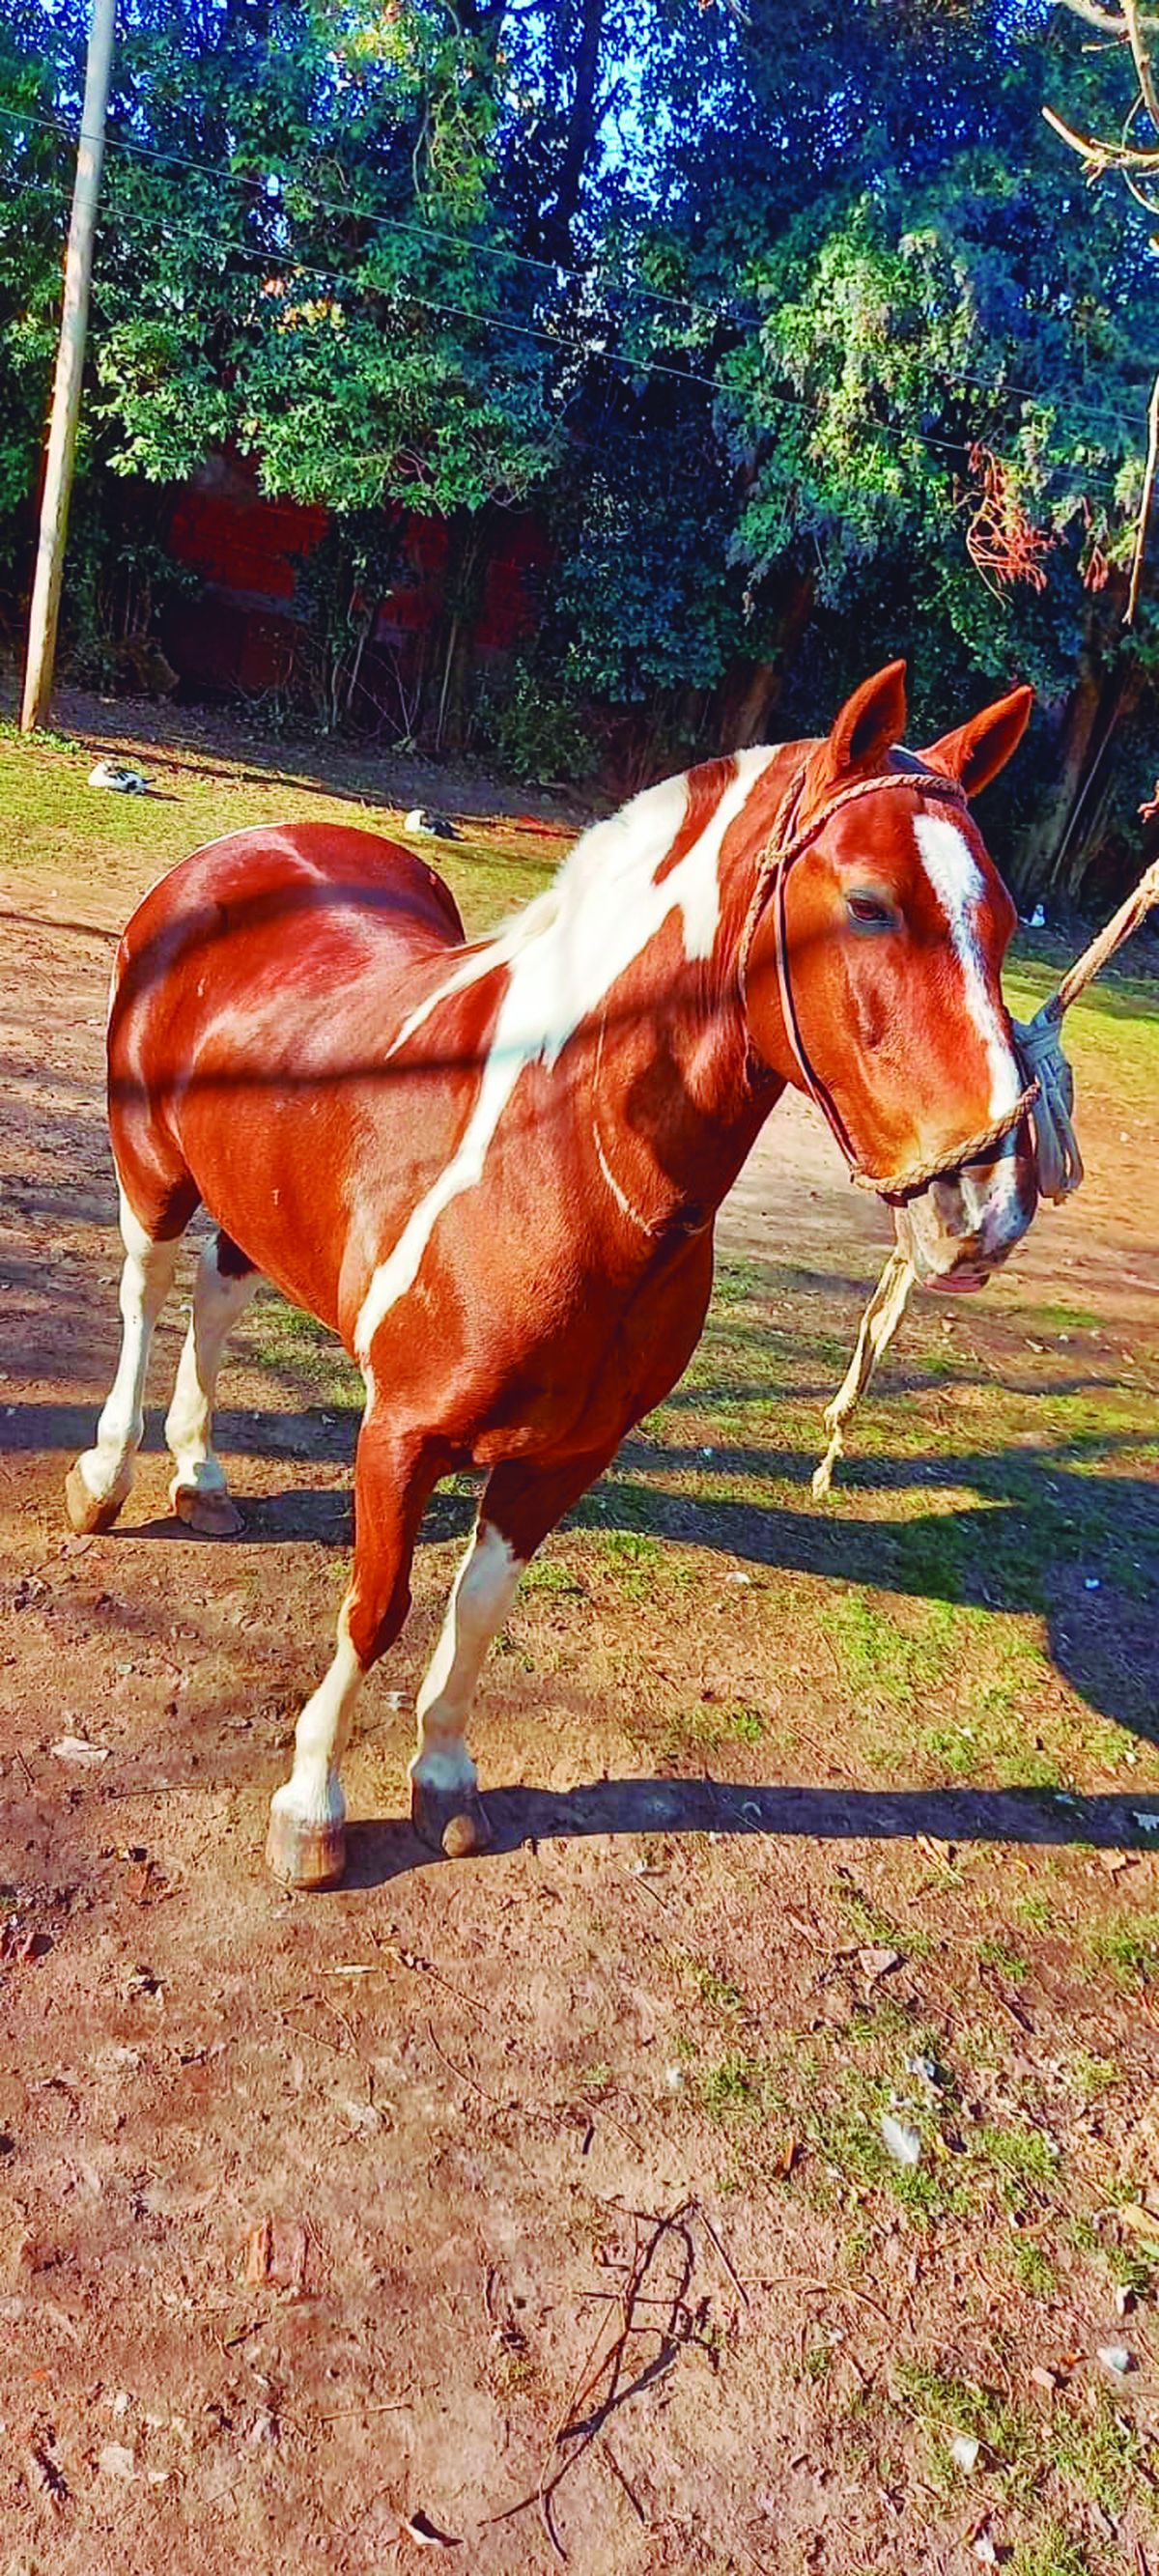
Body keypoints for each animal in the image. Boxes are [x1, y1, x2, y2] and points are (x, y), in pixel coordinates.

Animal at [65, 659, 1038, 1890]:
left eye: (1000, 918)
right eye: (869, 903)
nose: (988, 1204)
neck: (561, 1155)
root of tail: (241, 848)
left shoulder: (567, 1454)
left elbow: (479, 1611)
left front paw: (443, 1782)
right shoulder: (401, 1433)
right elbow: (375, 1607)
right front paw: (312, 1805)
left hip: (251, 1201)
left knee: (219, 1294)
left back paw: (201, 1476)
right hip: (151, 1170)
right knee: (147, 1296)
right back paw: (107, 1479)